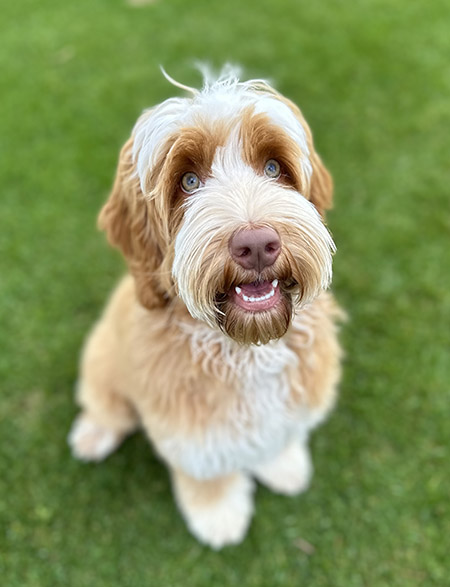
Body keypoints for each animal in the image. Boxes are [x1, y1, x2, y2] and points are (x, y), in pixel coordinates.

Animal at [69, 69, 344, 552]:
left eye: (274, 168)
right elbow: (208, 472)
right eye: (189, 182)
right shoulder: (189, 431)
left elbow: (279, 436)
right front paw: (218, 516)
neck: (246, 348)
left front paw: (283, 466)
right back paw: (93, 435)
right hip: (102, 361)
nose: (256, 243)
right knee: (104, 405)